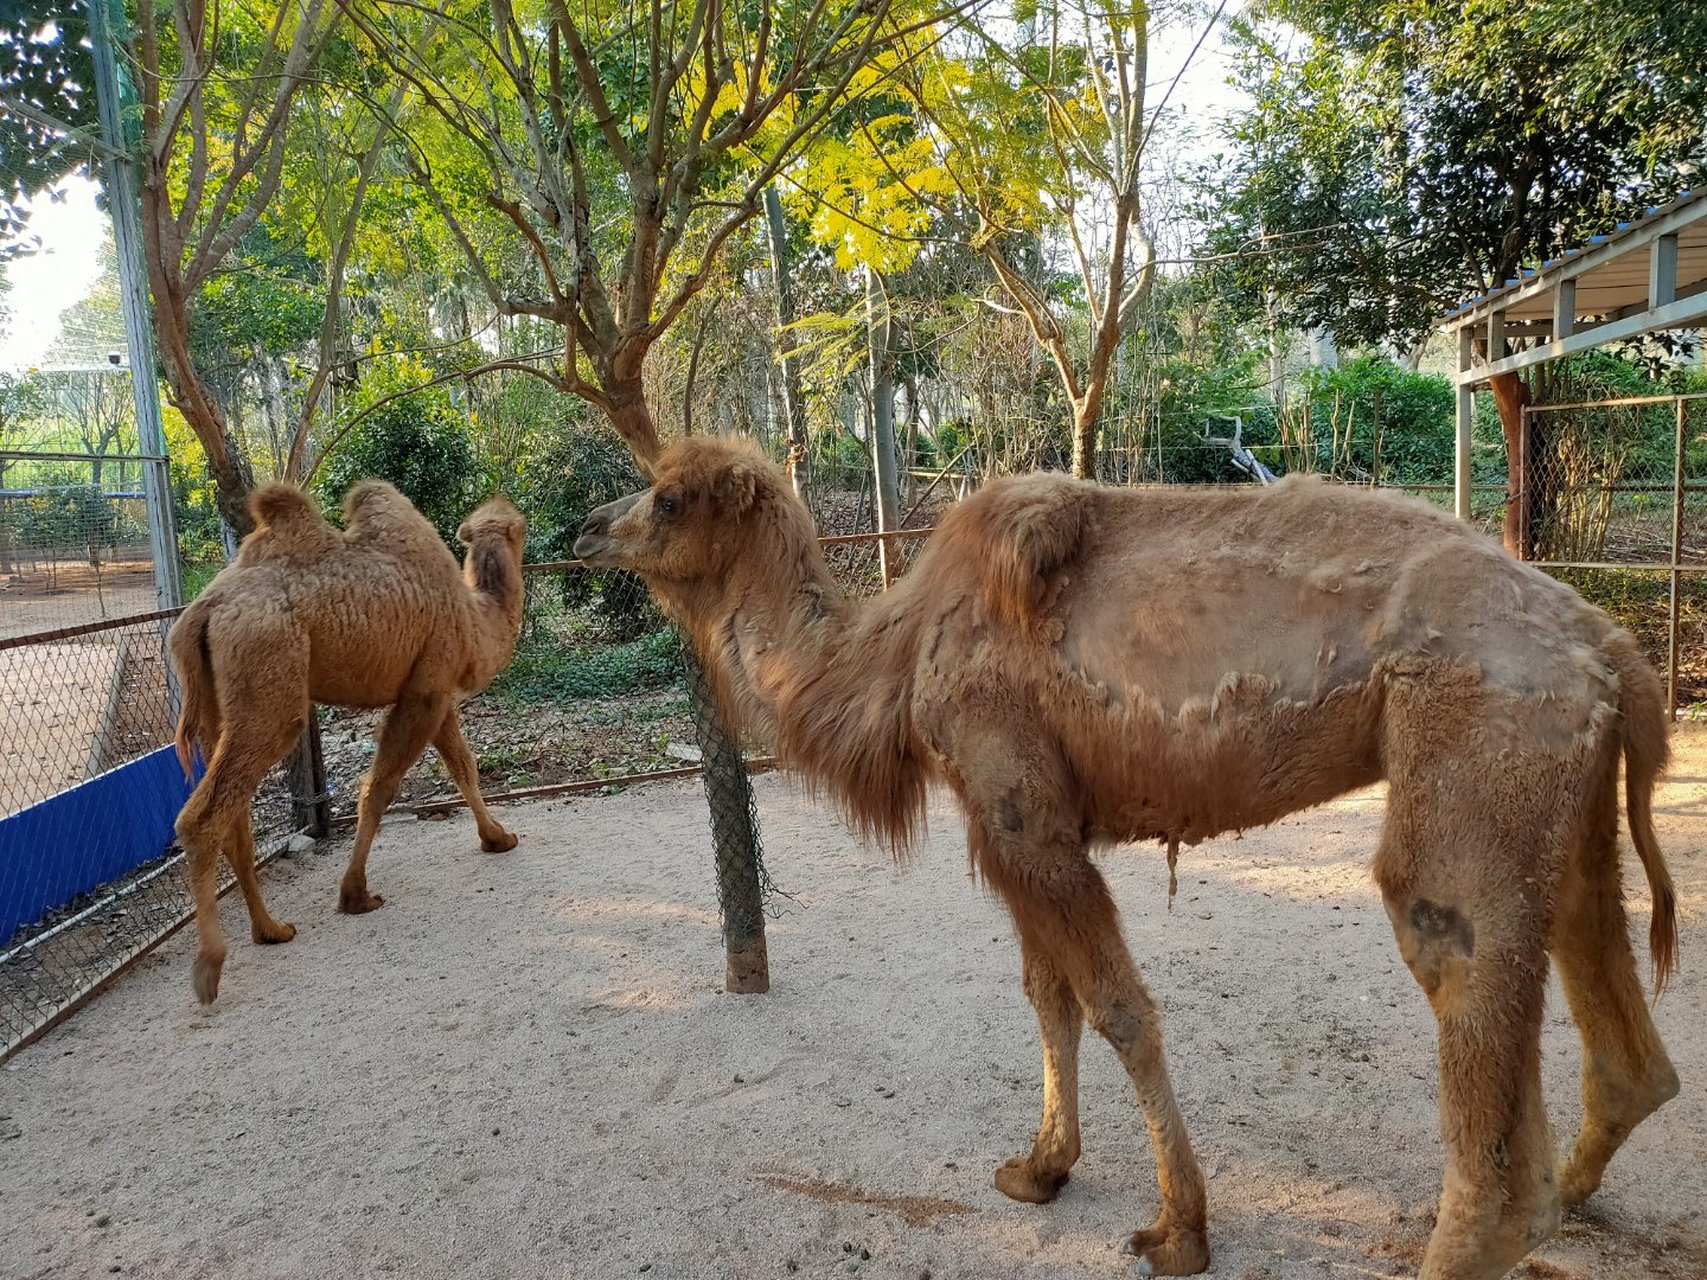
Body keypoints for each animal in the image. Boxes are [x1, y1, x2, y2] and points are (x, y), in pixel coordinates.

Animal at [171, 477, 525, 1003]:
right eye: (520, 528)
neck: (475, 619)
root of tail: (203, 610)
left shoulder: (434, 690)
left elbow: (463, 765)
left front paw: (497, 837)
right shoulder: (427, 688)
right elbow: (381, 787)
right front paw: (356, 894)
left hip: (223, 702)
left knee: (234, 815)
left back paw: (271, 929)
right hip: (270, 678)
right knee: (206, 814)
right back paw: (211, 965)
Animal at [573, 440, 1679, 1280]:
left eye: (667, 496)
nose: (582, 526)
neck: (895, 655)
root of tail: (1606, 639)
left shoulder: (1019, 804)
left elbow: (1117, 1007)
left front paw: (1180, 1228)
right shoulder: (1008, 817)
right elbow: (1047, 994)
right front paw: (1039, 1166)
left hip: (1478, 739)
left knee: (1455, 955)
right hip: (1566, 787)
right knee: (1608, 991)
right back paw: (1575, 1182)